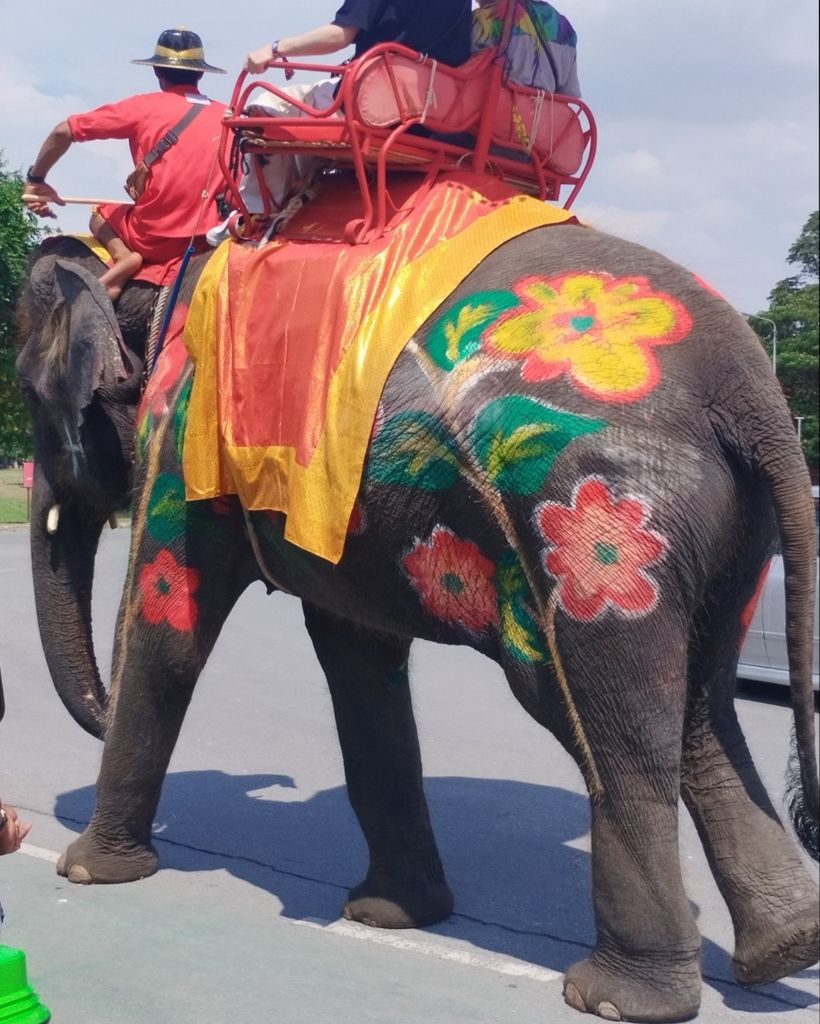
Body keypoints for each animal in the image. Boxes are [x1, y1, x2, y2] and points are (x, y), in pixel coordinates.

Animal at [15, 222, 819, 1024]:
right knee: (702, 712)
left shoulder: (181, 440)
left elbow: (168, 627)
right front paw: (393, 915)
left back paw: (617, 997)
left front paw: (88, 872)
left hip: (597, 523)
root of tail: (749, 387)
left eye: (26, 386)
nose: (95, 708)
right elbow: (358, 659)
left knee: (605, 722)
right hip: (733, 539)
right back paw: (785, 946)